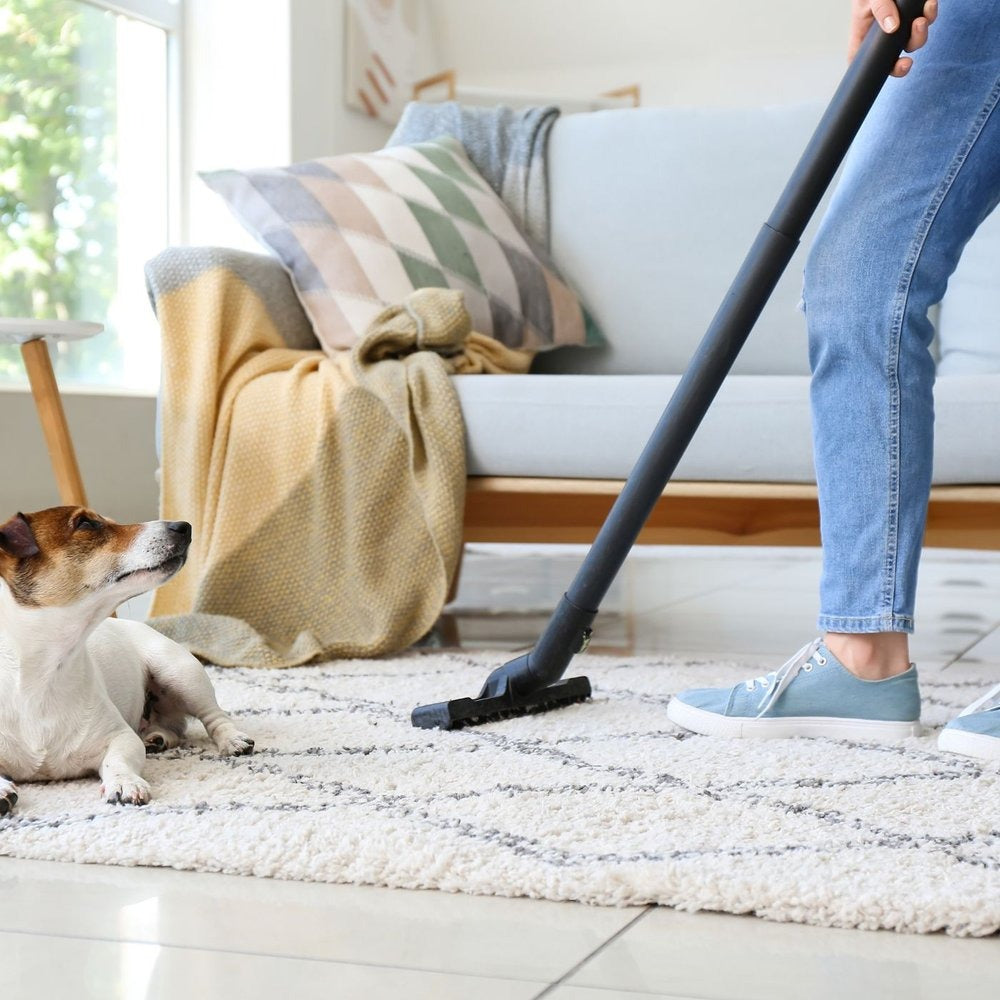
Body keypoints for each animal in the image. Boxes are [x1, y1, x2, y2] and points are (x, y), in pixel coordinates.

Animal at [0, 504, 254, 816]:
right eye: (86, 524)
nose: (184, 526)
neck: (43, 671)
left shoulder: (120, 737)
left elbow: (117, 760)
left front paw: (124, 782)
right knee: (175, 728)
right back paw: (158, 737)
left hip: (181, 673)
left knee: (214, 716)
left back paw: (231, 739)